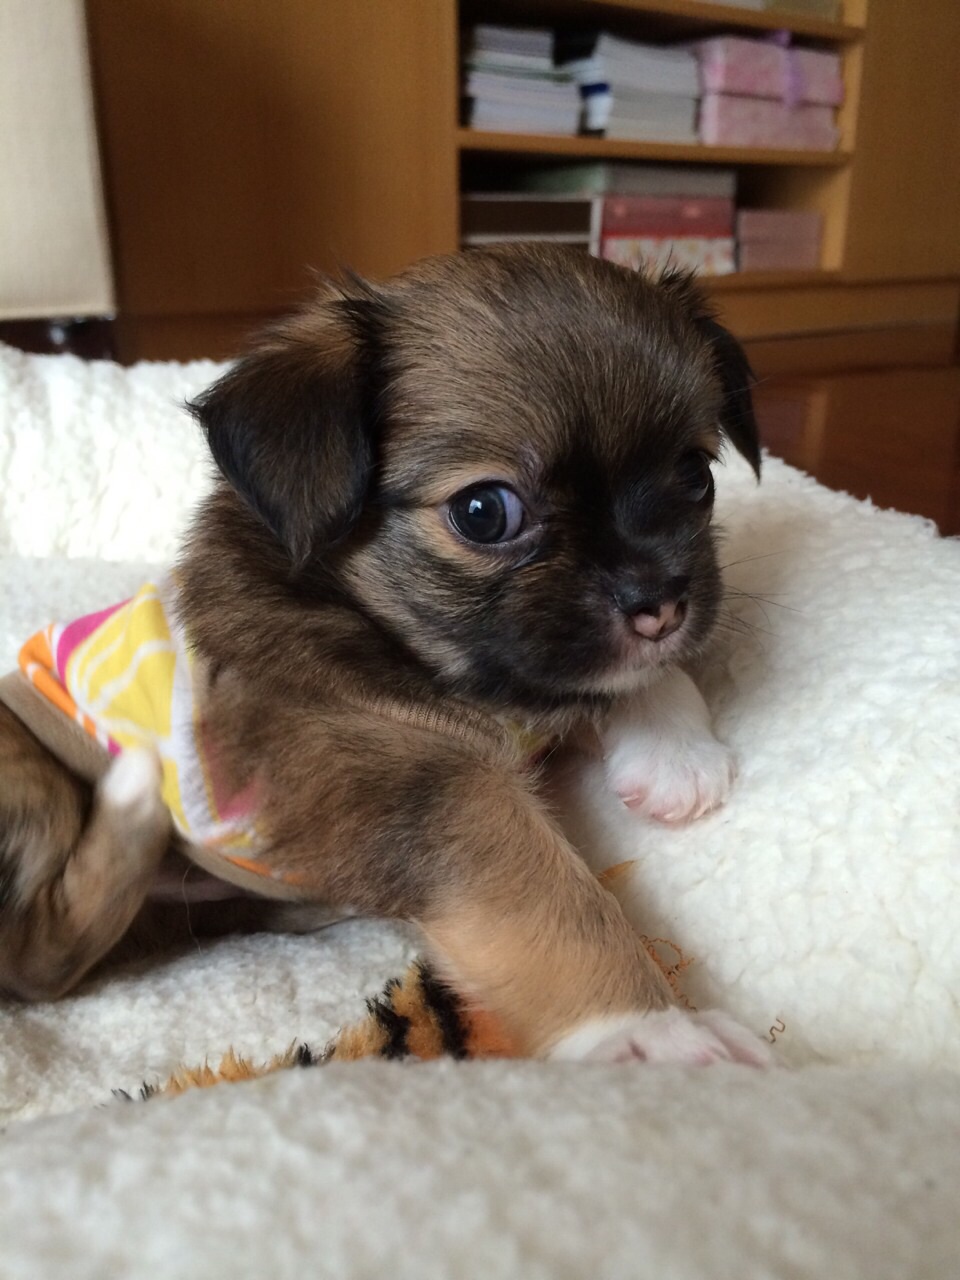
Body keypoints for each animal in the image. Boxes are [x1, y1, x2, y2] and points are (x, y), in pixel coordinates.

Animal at [0, 245, 770, 1065]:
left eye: (697, 475)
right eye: (483, 512)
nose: (661, 599)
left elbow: (622, 679)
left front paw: (675, 753)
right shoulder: (421, 790)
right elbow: (547, 901)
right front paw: (653, 1034)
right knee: (37, 958)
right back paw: (132, 794)